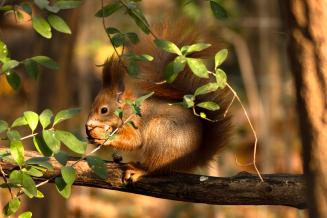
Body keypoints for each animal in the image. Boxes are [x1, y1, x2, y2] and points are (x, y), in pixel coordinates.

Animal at [86, 23, 232, 182]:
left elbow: (134, 140)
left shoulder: (134, 121)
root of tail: (192, 159)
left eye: (103, 110)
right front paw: (91, 135)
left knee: (155, 167)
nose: (88, 123)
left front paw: (101, 135)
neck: (126, 108)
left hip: (160, 132)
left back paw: (139, 170)